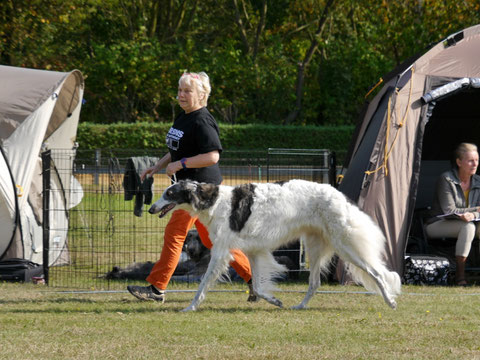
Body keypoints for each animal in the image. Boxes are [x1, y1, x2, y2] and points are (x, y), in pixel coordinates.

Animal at [149, 180, 402, 312]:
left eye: (169, 193)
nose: (151, 208)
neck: (213, 201)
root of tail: (339, 195)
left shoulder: (220, 253)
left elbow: (203, 285)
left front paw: (190, 307)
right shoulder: (254, 251)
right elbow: (257, 286)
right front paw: (275, 300)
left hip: (345, 246)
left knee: (377, 273)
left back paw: (390, 301)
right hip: (315, 246)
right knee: (315, 283)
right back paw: (300, 306)